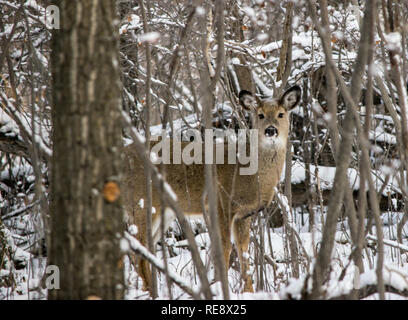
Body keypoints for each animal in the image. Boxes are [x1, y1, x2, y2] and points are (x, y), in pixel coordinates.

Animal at [125, 85, 302, 296]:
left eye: (281, 114)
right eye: (260, 115)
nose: (270, 130)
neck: (248, 175)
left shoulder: (245, 214)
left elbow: (243, 252)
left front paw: (249, 291)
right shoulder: (220, 205)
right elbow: (224, 250)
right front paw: (221, 287)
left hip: (162, 212)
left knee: (142, 250)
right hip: (141, 203)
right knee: (138, 250)